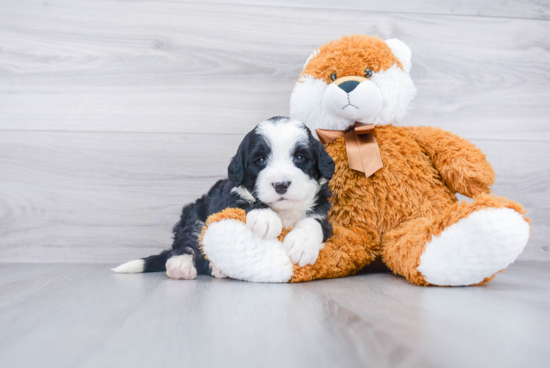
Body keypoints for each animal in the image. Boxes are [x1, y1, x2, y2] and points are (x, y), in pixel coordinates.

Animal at [113, 116, 332, 280]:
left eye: (299, 158)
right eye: (260, 160)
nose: (281, 185)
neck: (284, 211)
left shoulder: (325, 213)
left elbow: (314, 221)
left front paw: (302, 245)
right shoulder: (228, 197)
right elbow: (244, 202)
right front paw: (265, 217)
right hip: (194, 215)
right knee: (186, 242)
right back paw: (181, 265)